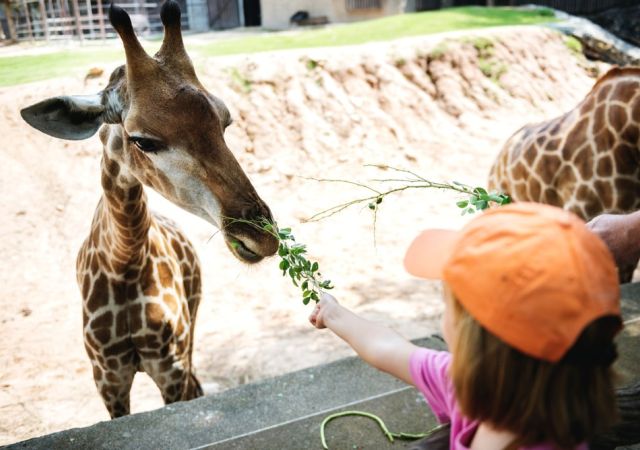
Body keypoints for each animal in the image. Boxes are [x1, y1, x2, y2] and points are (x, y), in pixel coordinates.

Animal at [20, 1, 278, 418]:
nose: (261, 237)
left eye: (225, 122)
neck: (123, 261)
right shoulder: (108, 378)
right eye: (142, 140)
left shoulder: (169, 366)